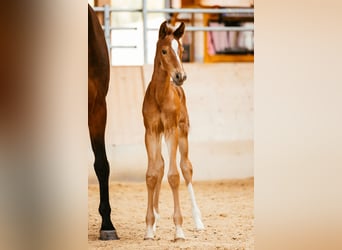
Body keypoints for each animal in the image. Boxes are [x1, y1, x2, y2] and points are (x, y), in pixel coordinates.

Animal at [142, 21, 203, 240]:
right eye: (164, 50)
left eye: (182, 49)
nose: (180, 76)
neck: (160, 96)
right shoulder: (151, 132)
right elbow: (152, 174)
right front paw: (149, 228)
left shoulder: (171, 131)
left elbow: (175, 176)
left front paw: (179, 230)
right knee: (160, 166)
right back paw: (156, 220)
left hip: (183, 132)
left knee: (186, 167)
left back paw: (198, 221)